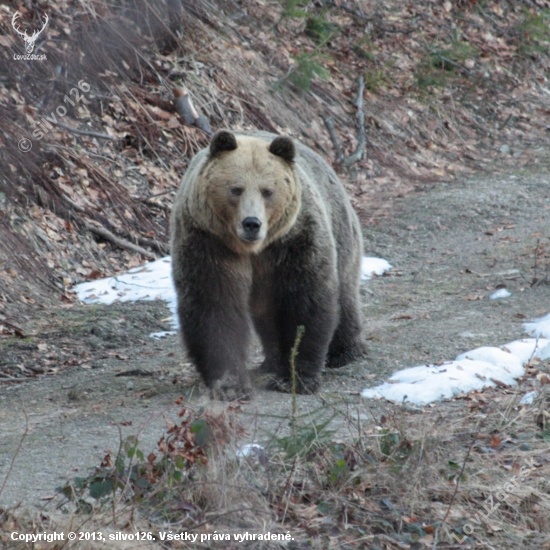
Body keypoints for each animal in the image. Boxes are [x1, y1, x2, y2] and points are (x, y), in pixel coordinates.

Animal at [170, 132, 364, 398]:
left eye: (268, 191)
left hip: (340, 228)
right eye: (236, 189)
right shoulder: (209, 242)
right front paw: (230, 384)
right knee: (266, 315)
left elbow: (304, 301)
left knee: (344, 291)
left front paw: (295, 378)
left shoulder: (294, 241)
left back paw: (344, 351)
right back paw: (271, 361)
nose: (252, 223)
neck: (253, 250)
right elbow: (214, 305)